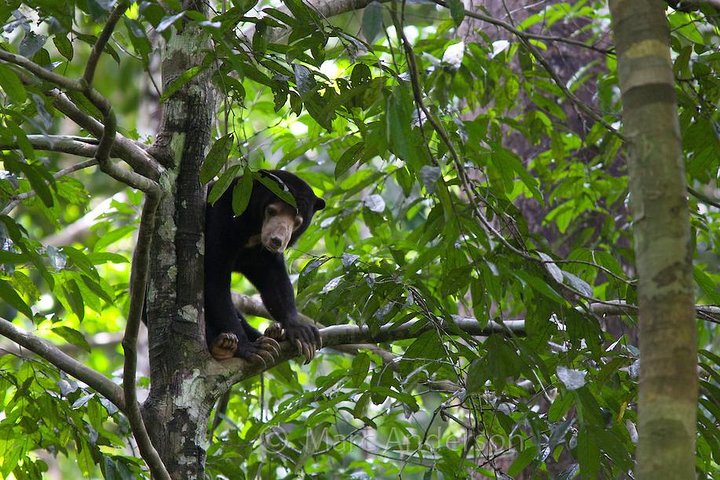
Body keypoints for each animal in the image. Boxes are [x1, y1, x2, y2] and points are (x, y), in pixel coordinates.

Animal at [204, 169, 325, 363]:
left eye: (297, 221)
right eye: (271, 211)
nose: (277, 240)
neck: (252, 234)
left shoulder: (262, 255)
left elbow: (274, 281)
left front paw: (300, 331)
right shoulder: (219, 220)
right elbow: (213, 279)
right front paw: (248, 348)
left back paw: (273, 335)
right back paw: (223, 345)